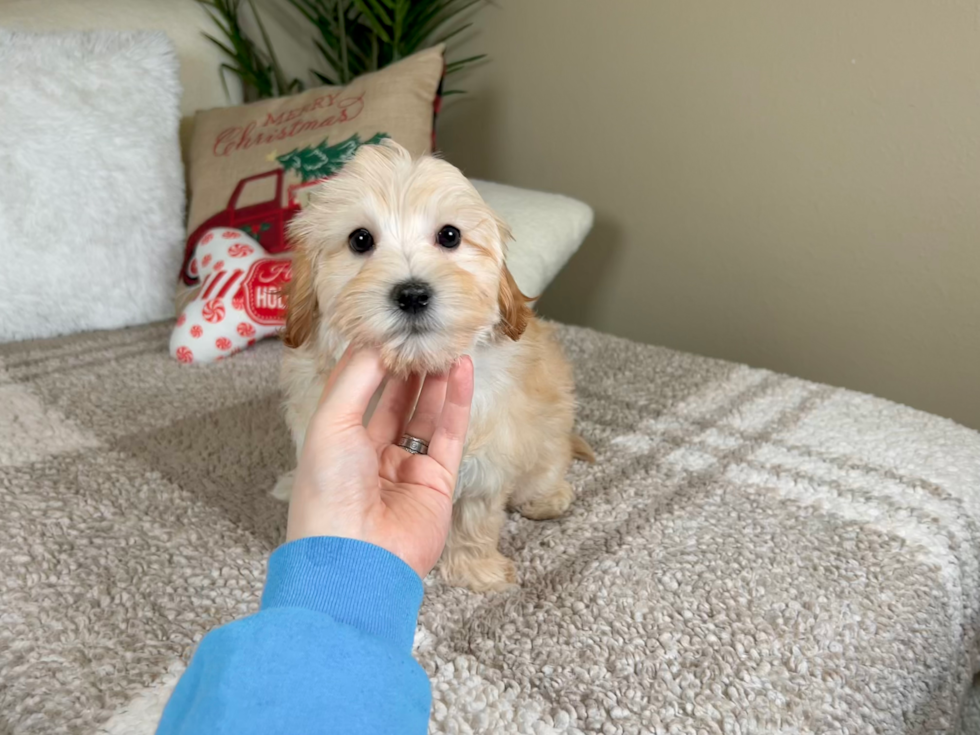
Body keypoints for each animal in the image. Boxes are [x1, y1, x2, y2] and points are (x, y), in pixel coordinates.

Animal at [274, 141, 588, 596]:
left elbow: (476, 513)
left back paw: (547, 498)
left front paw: (476, 569)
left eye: (450, 235)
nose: (412, 294)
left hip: (549, 439)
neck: (415, 366)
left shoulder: (488, 452)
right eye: (360, 239)